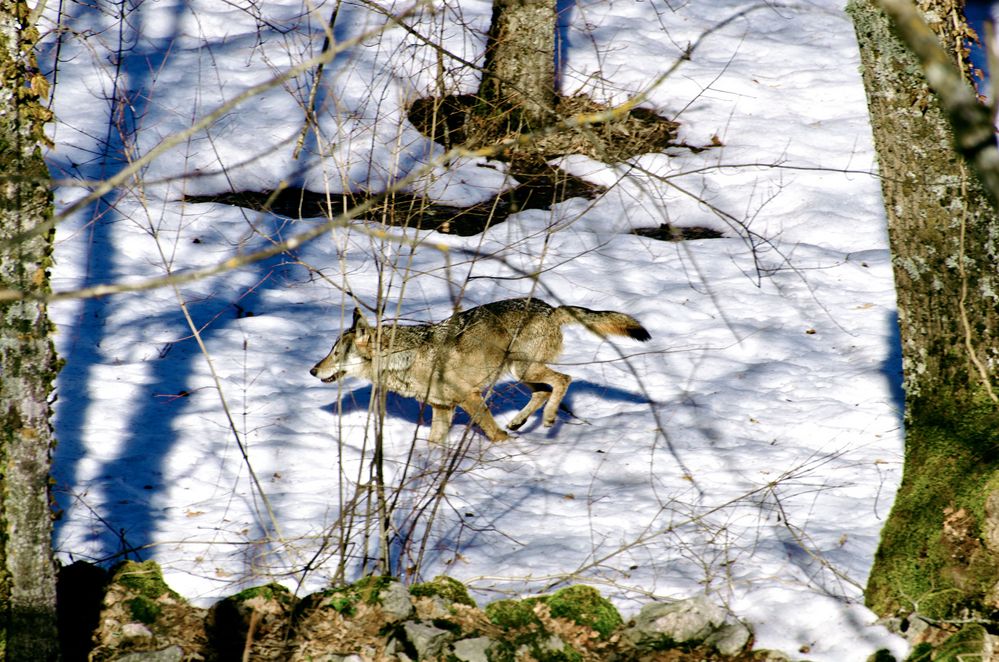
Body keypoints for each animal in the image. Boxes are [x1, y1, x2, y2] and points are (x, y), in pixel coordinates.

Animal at [314, 298, 656, 444]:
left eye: (335, 353)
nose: (312, 370)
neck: (405, 358)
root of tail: (551, 308)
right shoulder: (443, 408)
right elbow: (433, 442)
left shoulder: (471, 398)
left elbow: (492, 432)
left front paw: (504, 444)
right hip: (523, 374)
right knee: (545, 391)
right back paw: (519, 421)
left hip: (524, 370)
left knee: (563, 380)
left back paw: (547, 420)